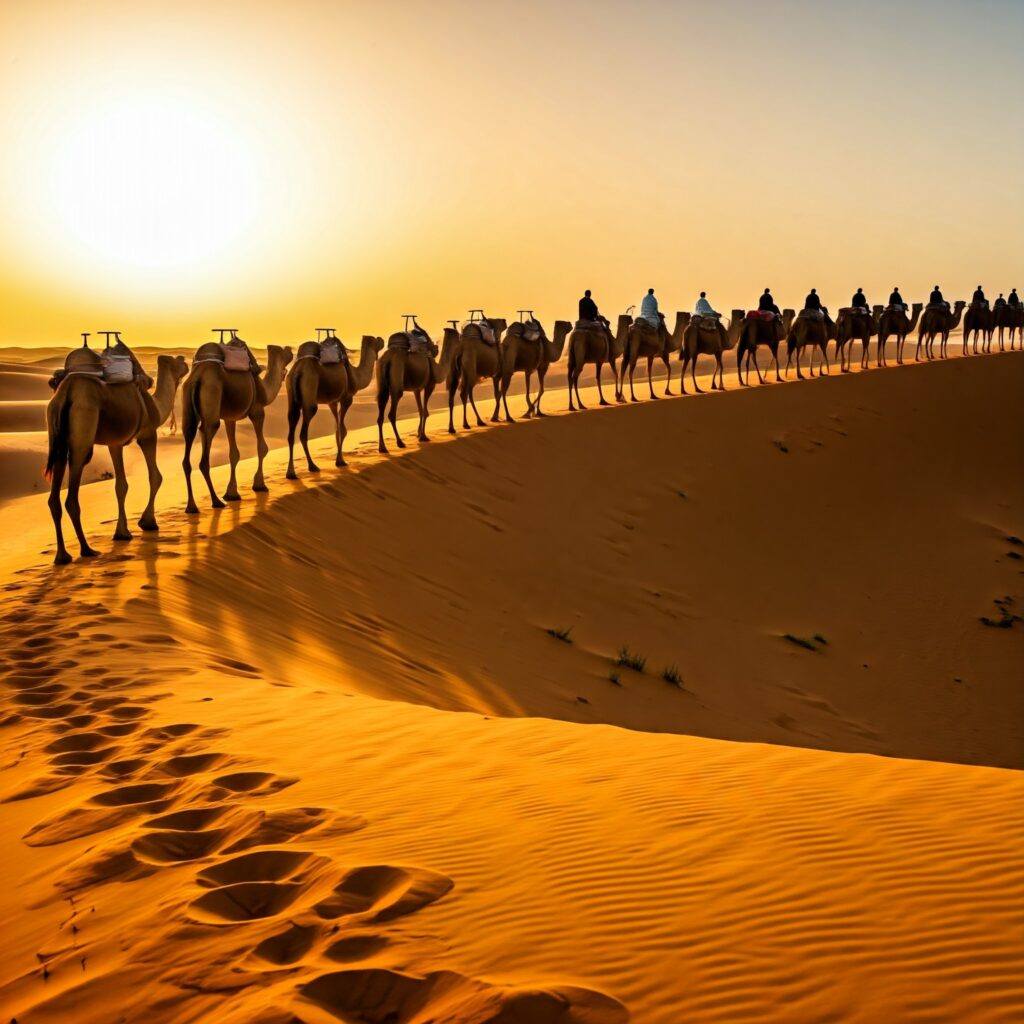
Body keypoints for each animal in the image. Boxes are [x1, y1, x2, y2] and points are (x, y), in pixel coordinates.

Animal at [44, 348, 190, 565]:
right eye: (178, 361)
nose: (187, 364)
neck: (155, 405)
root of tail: (66, 393)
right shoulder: (148, 434)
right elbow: (155, 476)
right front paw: (148, 522)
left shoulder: (115, 443)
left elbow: (121, 485)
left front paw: (122, 533)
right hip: (83, 432)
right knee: (71, 496)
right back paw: (87, 549)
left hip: (57, 438)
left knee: (54, 498)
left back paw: (62, 556)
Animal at [180, 339, 290, 512]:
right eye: (285, 352)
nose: (291, 351)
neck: (264, 390)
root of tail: (198, 376)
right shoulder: (257, 410)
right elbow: (262, 448)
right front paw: (259, 485)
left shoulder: (229, 418)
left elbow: (234, 454)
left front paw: (232, 493)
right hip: (212, 397)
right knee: (204, 457)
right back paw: (216, 501)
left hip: (188, 408)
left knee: (188, 447)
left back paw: (192, 506)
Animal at [284, 335, 385, 479]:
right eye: (376, 340)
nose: (382, 339)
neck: (356, 376)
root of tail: (298, 371)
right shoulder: (347, 399)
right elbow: (343, 430)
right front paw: (340, 461)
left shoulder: (332, 402)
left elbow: (337, 429)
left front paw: (339, 459)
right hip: (310, 390)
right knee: (304, 431)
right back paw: (312, 466)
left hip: (291, 397)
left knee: (291, 431)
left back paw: (291, 473)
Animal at [374, 323, 458, 452]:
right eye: (457, 335)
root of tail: (387, 359)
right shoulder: (430, 384)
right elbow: (425, 411)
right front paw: (423, 436)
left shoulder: (416, 389)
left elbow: (420, 410)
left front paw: (419, 434)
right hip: (397, 379)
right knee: (392, 413)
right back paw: (400, 443)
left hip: (382, 384)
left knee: (380, 414)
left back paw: (382, 448)